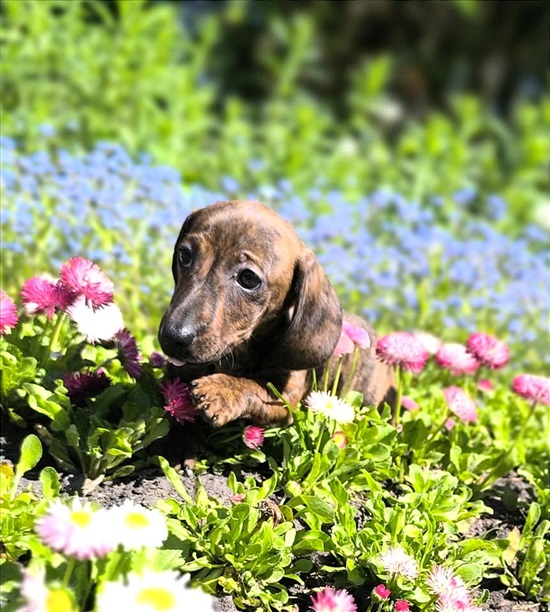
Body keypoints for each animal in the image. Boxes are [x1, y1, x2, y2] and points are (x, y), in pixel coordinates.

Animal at [157, 201, 394, 426]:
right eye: (185, 255)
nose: (173, 337)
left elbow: (254, 386)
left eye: (248, 278)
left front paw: (221, 390)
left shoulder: (286, 397)